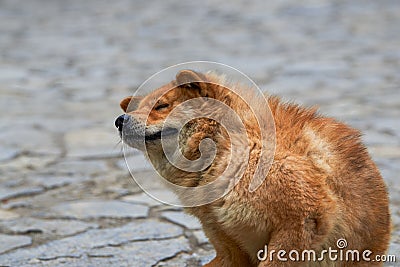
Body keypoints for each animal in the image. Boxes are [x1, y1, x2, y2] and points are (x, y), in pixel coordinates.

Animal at [115, 70, 390, 266]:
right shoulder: (225, 242)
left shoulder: (303, 218)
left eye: (161, 106)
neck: (227, 146)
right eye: (140, 107)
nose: (119, 120)